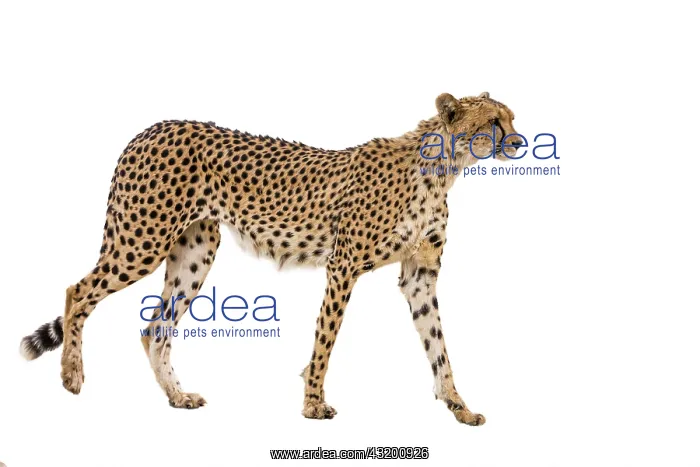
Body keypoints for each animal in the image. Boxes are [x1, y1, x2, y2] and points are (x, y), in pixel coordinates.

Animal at [20, 92, 522, 425]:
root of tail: (152, 128)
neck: (442, 169)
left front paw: (460, 407)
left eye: (512, 119)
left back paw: (178, 397)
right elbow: (325, 339)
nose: (519, 143)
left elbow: (438, 346)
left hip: (195, 251)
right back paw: (71, 374)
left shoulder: (420, 274)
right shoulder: (343, 266)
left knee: (155, 328)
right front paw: (313, 403)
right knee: (78, 290)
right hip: (142, 240)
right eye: (494, 122)